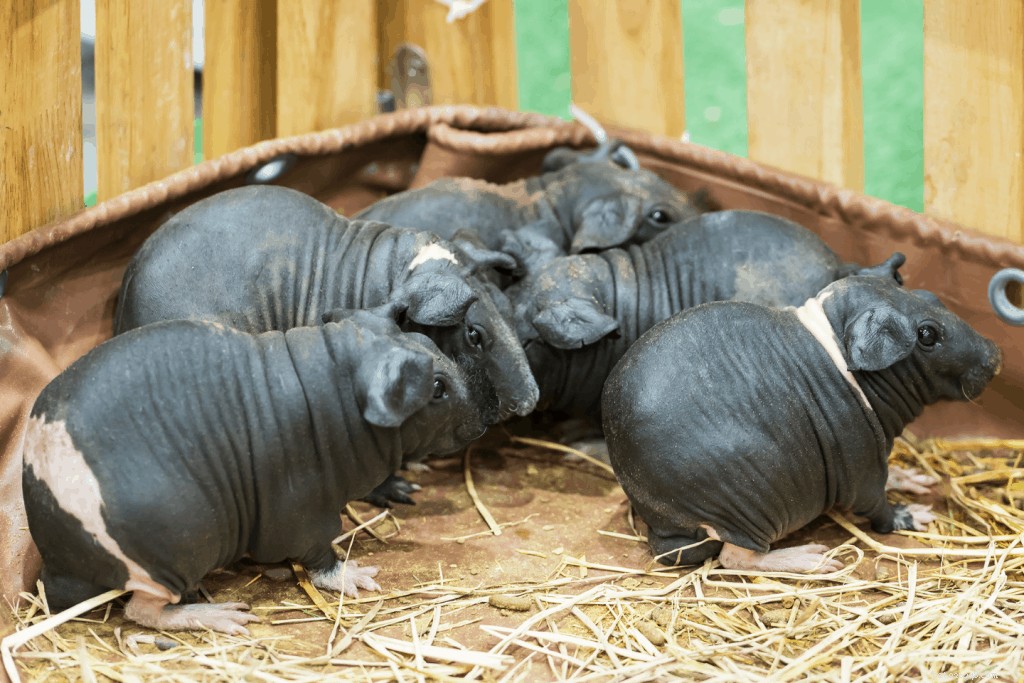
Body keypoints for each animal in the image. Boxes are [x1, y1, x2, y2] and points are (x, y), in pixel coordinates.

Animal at [23, 307, 491, 634]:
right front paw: (359, 577)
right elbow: (323, 561)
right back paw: (222, 615)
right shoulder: (307, 515)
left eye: (421, 337)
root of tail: (58, 562)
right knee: (144, 612)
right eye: (436, 388)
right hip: (174, 559)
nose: (487, 417)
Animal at [603, 276, 1002, 572]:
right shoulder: (862, 468)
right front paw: (916, 514)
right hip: (756, 504)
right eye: (927, 335)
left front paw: (915, 479)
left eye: (929, 297)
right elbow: (880, 509)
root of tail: (665, 528)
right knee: (736, 558)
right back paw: (812, 559)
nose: (994, 356)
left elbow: (893, 475)